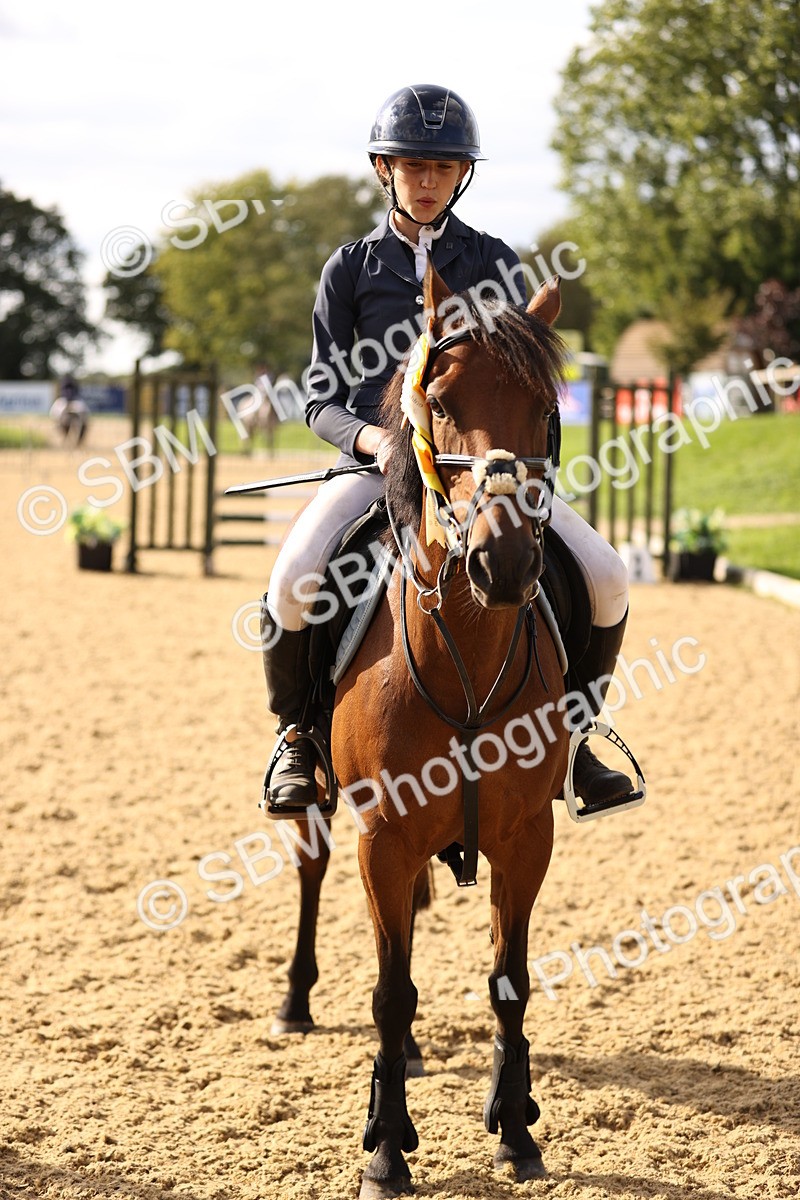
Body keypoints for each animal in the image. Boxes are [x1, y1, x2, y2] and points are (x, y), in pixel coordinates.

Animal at [272, 265, 569, 1197]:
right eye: (436, 400)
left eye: (546, 406)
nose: (503, 563)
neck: (464, 651)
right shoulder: (385, 838)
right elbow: (389, 989)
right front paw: (385, 1148)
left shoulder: (527, 834)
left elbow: (510, 979)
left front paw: (515, 1129)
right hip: (322, 804)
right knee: (312, 874)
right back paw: (294, 1004)